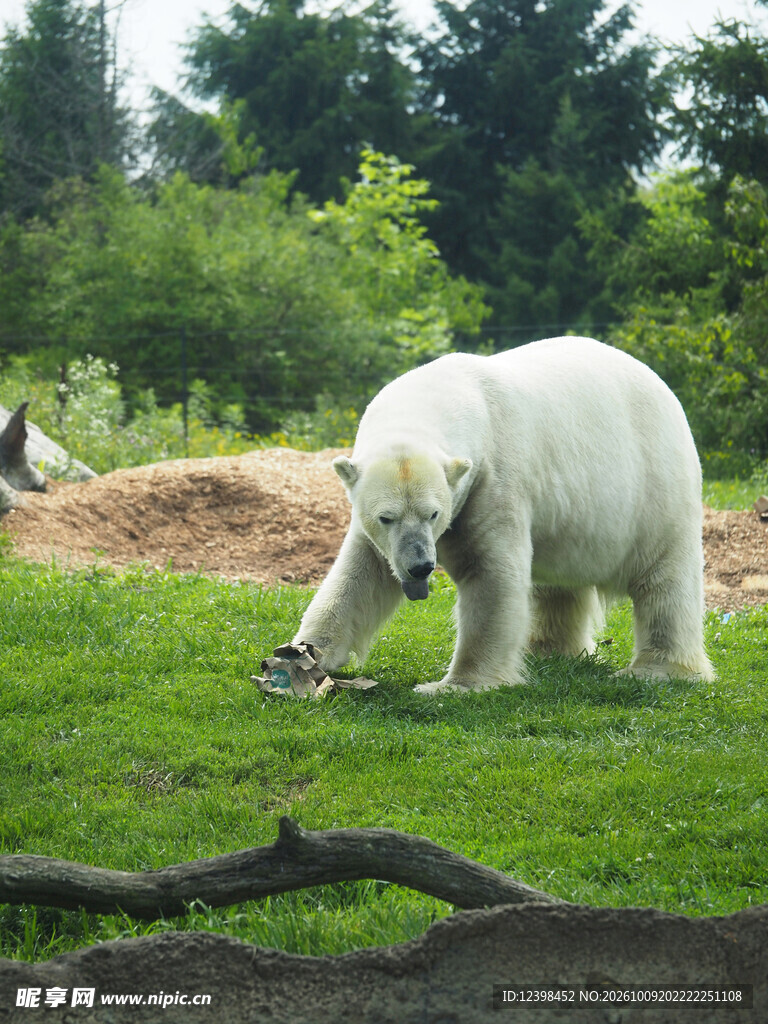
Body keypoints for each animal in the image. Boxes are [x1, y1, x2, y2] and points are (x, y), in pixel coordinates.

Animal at [292, 336, 714, 693]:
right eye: (387, 517)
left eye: (433, 513)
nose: (420, 567)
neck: (448, 392)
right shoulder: (381, 527)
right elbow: (362, 573)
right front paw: (301, 655)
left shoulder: (493, 479)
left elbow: (489, 573)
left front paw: (456, 685)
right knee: (558, 580)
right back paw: (547, 647)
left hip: (654, 485)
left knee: (664, 578)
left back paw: (659, 669)